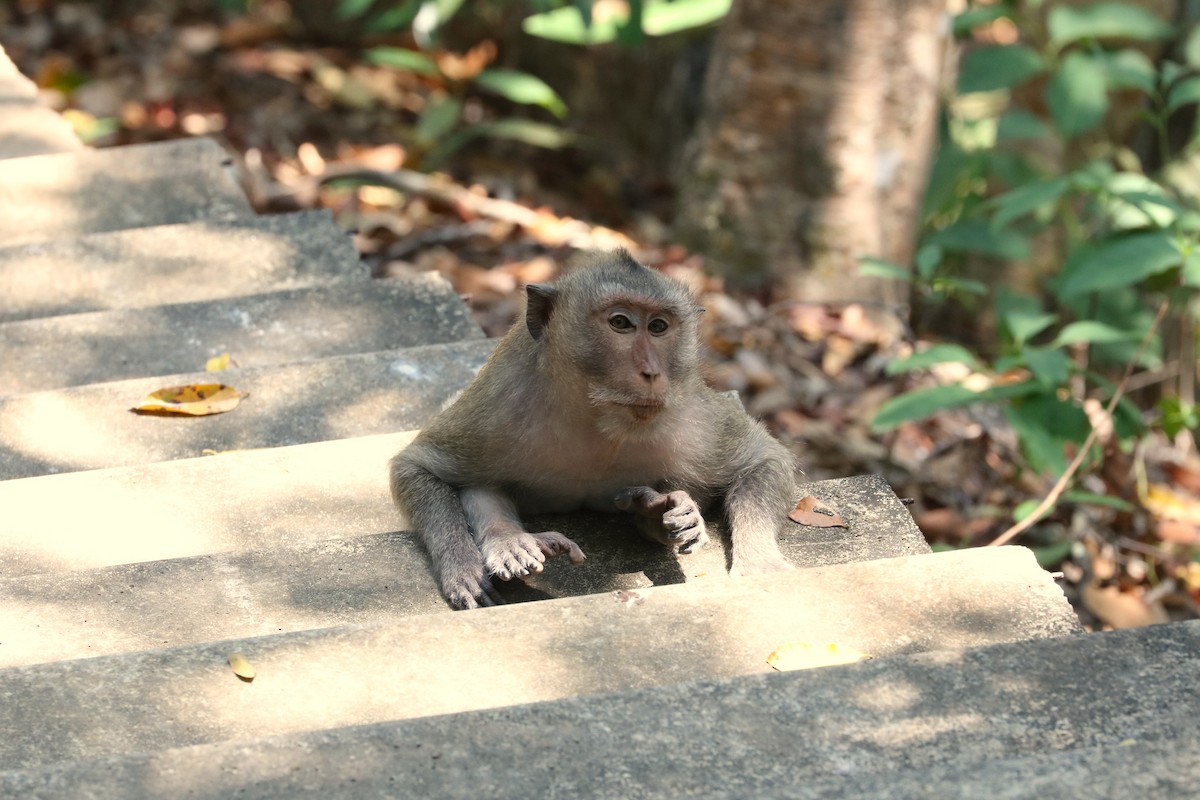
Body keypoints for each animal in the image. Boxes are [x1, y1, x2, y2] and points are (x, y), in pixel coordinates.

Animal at [390, 249, 798, 610]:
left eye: (658, 327)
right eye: (621, 323)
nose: (651, 372)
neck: (596, 419)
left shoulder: (691, 420)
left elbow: (765, 460)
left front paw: (760, 565)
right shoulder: (498, 408)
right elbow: (415, 468)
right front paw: (461, 568)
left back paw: (657, 515)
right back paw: (508, 541)